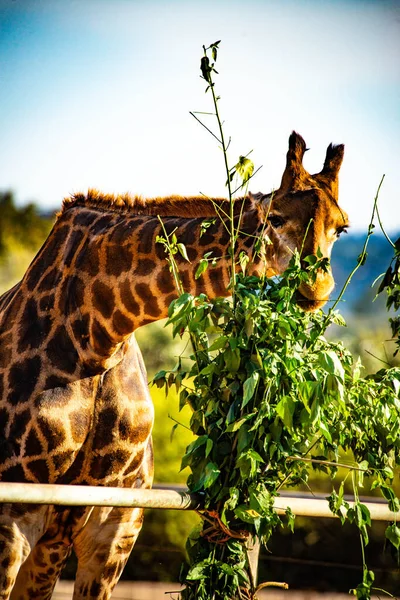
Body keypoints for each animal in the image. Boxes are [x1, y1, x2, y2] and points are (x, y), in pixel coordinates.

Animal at [0, 132, 346, 600]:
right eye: (274, 218)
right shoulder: (16, 514)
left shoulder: (109, 524)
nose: (316, 286)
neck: (99, 333)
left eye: (341, 227)